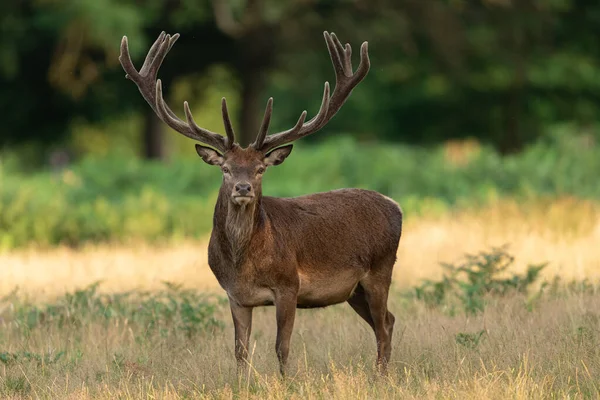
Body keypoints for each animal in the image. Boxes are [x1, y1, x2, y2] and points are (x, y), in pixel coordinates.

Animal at [119, 29, 404, 374]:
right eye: (226, 168)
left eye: (260, 169)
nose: (243, 188)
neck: (244, 263)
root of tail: (396, 206)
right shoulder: (235, 296)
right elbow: (240, 351)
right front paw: (243, 382)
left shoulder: (289, 285)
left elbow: (282, 347)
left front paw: (286, 381)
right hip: (355, 290)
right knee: (387, 321)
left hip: (380, 269)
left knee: (384, 324)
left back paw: (381, 376)